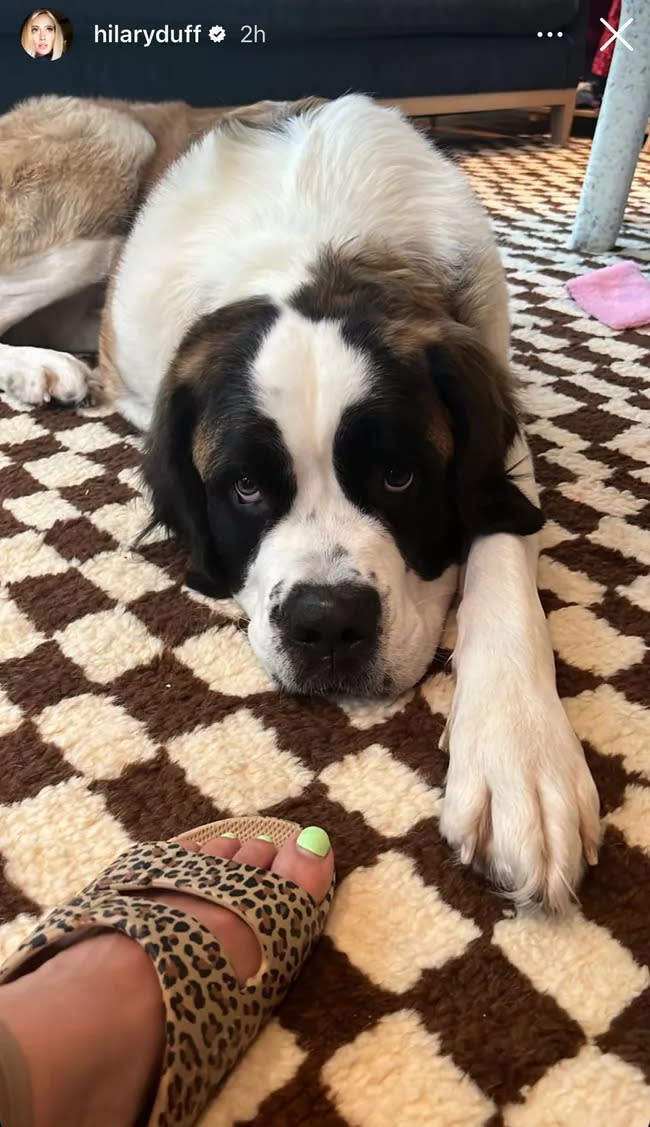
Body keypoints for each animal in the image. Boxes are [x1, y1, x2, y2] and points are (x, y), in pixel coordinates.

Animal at [0, 92, 599, 910]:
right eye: (246, 488)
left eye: (399, 478)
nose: (327, 623)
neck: (320, 245)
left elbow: (502, 556)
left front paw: (520, 757)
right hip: (114, 145)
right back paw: (42, 367)